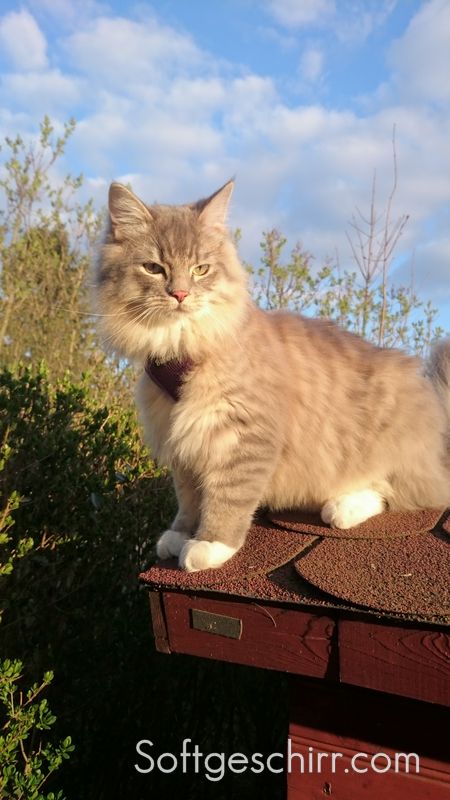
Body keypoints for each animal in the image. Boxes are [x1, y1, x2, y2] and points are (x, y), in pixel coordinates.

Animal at [96, 178, 450, 572]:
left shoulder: (244, 436)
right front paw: (180, 534)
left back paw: (342, 506)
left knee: (401, 491)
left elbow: (227, 497)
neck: (182, 345)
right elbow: (188, 498)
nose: (180, 294)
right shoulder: (182, 443)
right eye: (153, 268)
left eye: (201, 269)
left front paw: (210, 544)